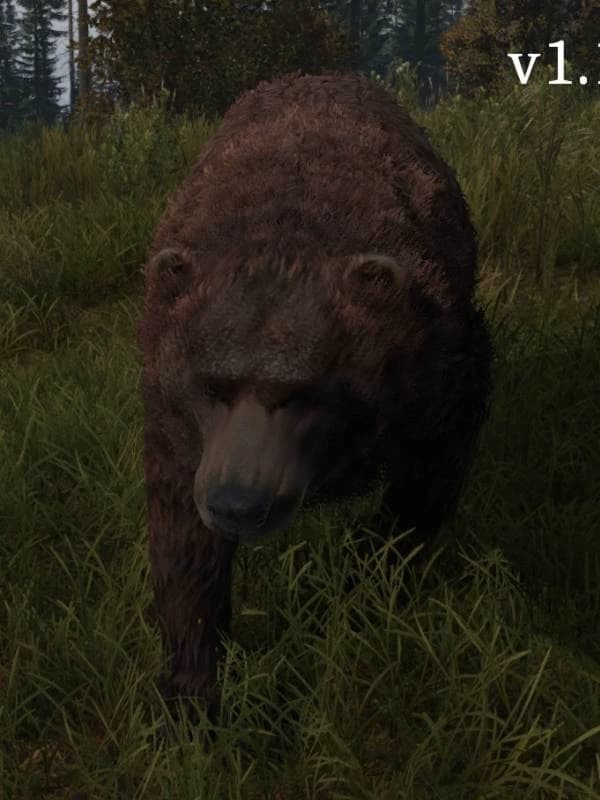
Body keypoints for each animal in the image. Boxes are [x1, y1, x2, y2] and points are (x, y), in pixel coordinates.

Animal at [137, 71, 494, 724]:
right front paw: (192, 691)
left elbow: (422, 491)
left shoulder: (437, 371)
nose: (238, 502)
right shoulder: (174, 421)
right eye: (210, 385)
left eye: (301, 393)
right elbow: (182, 540)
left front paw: (368, 588)